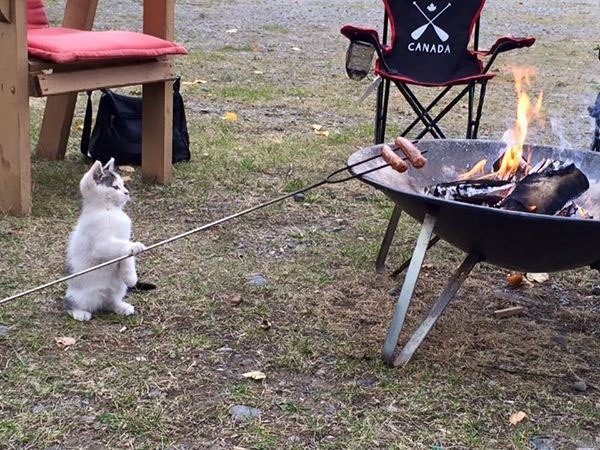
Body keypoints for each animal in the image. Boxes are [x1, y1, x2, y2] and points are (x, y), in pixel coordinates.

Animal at [65, 160, 146, 322]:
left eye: (123, 185)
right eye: (115, 187)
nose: (127, 193)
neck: (108, 210)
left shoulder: (123, 236)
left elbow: (126, 257)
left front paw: (130, 276)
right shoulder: (100, 244)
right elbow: (119, 245)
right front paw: (135, 246)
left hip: (118, 287)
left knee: (110, 301)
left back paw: (121, 306)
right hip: (82, 295)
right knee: (70, 303)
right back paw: (79, 312)